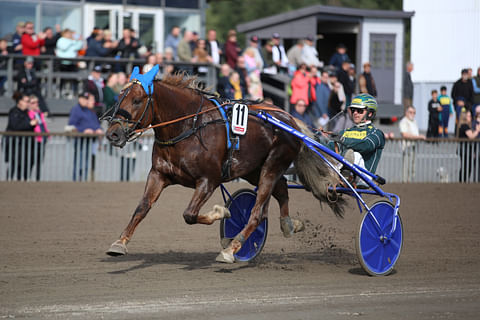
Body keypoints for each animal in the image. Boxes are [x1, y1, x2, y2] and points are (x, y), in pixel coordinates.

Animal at [103, 66, 344, 264]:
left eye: (137, 100)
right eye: (119, 97)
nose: (113, 134)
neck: (188, 126)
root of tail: (289, 120)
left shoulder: (208, 180)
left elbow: (190, 214)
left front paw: (222, 212)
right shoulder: (158, 174)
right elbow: (142, 208)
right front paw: (120, 243)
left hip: (273, 165)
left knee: (258, 212)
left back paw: (231, 249)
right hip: (254, 169)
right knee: (282, 189)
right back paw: (288, 224)